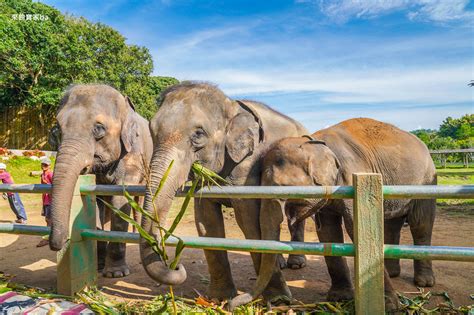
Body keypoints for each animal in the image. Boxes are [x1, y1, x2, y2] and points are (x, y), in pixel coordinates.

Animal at [48, 84, 153, 278]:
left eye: (99, 128)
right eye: (57, 129)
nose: (58, 245)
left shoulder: (133, 154)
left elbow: (121, 199)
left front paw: (115, 273)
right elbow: (95, 201)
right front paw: (99, 265)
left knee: (140, 200)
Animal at [141, 81, 310, 302]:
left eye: (198, 134)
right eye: (151, 130)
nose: (175, 264)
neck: (230, 106)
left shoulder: (248, 165)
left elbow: (248, 220)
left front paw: (277, 299)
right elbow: (207, 221)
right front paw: (218, 299)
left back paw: (296, 265)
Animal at [231, 118, 436, 312]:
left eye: (282, 188)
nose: (230, 305)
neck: (314, 142)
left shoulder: (354, 174)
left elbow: (355, 229)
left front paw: (389, 306)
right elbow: (328, 232)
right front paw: (340, 298)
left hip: (426, 181)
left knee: (421, 223)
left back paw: (424, 282)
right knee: (392, 224)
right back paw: (393, 273)